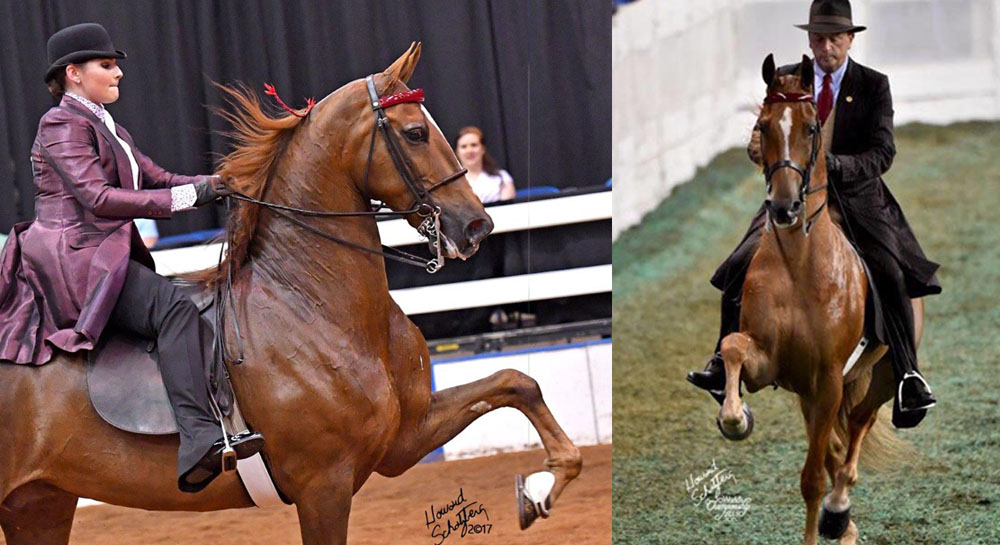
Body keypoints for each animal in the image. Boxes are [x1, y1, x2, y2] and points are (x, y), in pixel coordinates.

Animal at [0, 43, 581, 545]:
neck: (311, 305)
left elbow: (516, 381)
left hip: (38, 504)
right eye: (416, 133)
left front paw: (541, 489)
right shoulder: (323, 485)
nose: (477, 226)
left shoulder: (404, 437)